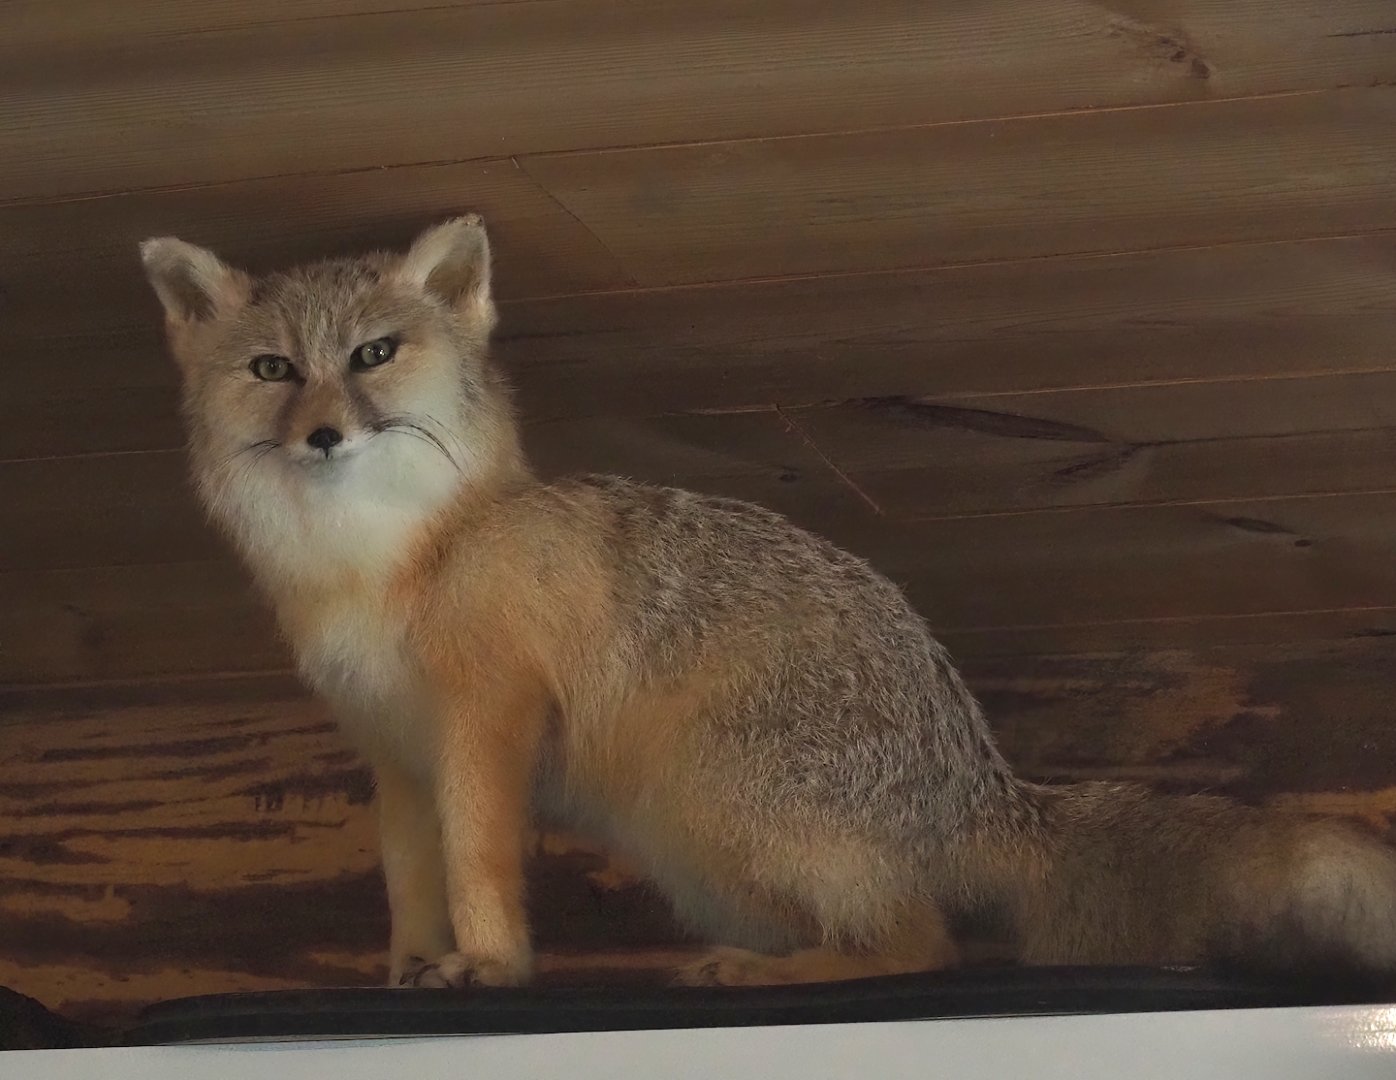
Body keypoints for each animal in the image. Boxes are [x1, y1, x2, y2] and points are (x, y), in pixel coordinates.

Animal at [140, 216, 1396, 990]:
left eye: (374, 354)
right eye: (271, 371)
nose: (322, 435)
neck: (385, 564)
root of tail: (979, 781)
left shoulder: (486, 723)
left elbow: (478, 867)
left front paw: (491, 969)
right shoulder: (395, 753)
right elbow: (415, 886)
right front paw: (411, 974)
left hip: (717, 798)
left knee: (921, 946)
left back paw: (776, 970)